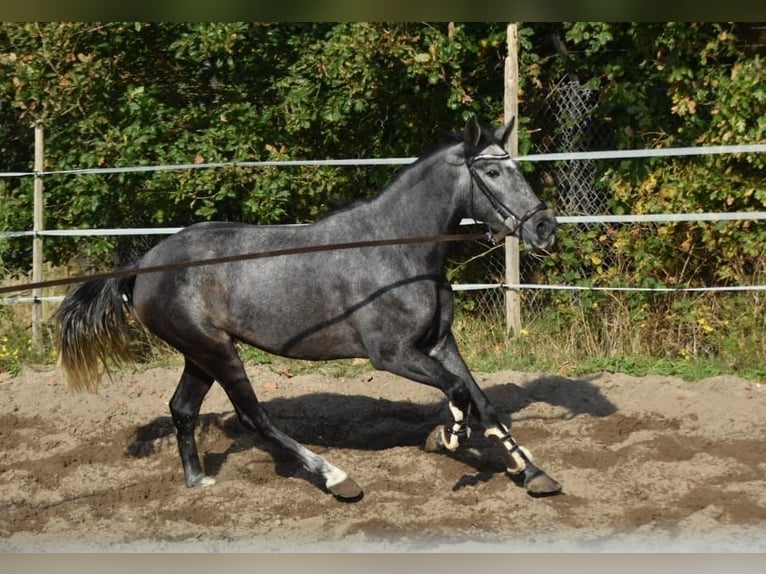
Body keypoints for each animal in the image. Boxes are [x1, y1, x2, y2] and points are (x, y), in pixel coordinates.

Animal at [57, 115, 564, 502]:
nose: (544, 227)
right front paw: (447, 438)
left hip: (199, 353)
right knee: (253, 417)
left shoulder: (439, 343)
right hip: (217, 351)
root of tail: (145, 264)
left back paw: (198, 480)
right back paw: (338, 479)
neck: (398, 251)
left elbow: (484, 402)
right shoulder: (392, 354)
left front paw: (533, 473)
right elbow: (458, 392)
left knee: (182, 409)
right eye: (493, 174)